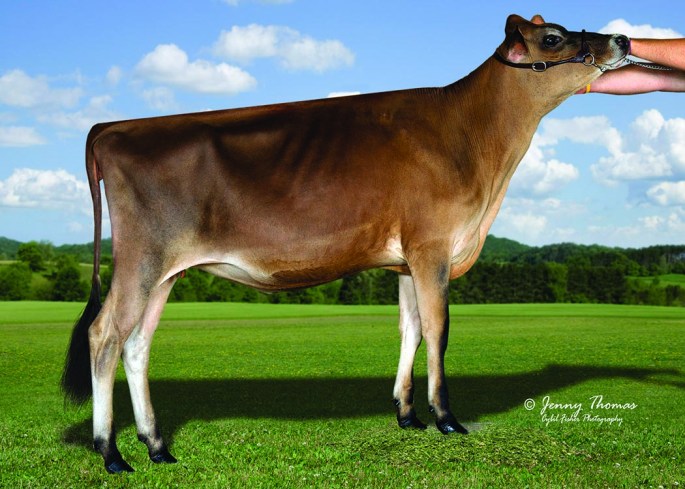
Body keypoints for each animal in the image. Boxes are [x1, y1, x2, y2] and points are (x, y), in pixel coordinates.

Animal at [61, 14, 629, 473]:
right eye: (553, 37)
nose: (622, 38)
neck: (473, 142)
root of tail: (111, 128)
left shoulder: (407, 260)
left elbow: (410, 330)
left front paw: (407, 414)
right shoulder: (432, 246)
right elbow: (439, 331)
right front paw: (446, 418)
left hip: (166, 270)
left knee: (136, 345)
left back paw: (157, 446)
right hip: (141, 258)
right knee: (104, 336)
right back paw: (111, 452)